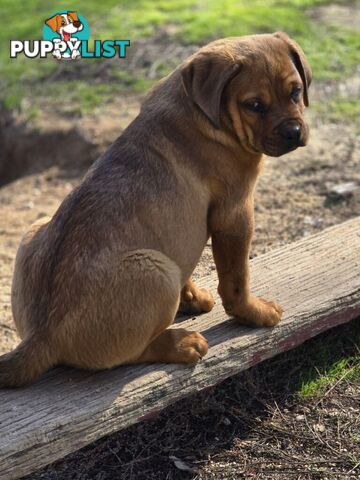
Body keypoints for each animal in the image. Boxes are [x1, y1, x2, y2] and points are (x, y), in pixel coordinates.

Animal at [0, 32, 310, 386]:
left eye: (295, 91)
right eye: (254, 105)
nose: (293, 132)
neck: (199, 109)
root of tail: (41, 336)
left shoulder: (179, 236)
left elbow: (189, 264)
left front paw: (191, 298)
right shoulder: (235, 214)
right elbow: (236, 278)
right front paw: (253, 313)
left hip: (36, 228)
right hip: (155, 270)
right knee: (131, 354)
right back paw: (181, 343)